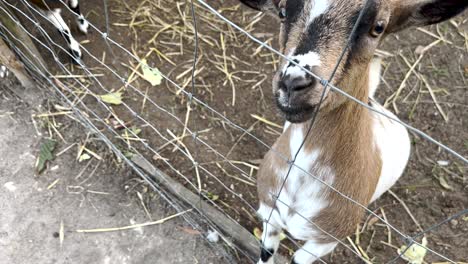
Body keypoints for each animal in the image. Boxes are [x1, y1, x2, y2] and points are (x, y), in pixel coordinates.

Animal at [239, 0, 466, 264]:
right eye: (283, 11)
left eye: (378, 27)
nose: (293, 82)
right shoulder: (269, 213)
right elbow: (266, 252)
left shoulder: (325, 241)